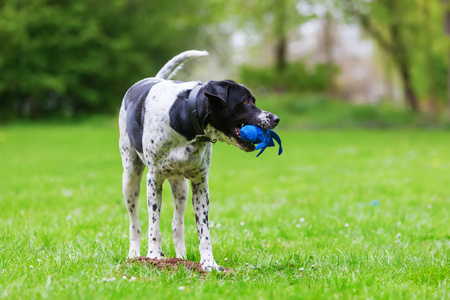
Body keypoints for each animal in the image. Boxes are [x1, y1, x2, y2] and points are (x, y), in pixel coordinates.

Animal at [118, 50, 282, 270]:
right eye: (246, 101)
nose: (275, 119)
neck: (186, 117)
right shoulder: (153, 181)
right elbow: (154, 226)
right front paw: (154, 256)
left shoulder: (200, 185)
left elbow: (203, 231)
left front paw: (209, 263)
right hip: (130, 179)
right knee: (135, 223)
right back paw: (135, 254)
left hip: (180, 188)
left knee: (177, 225)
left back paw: (181, 258)